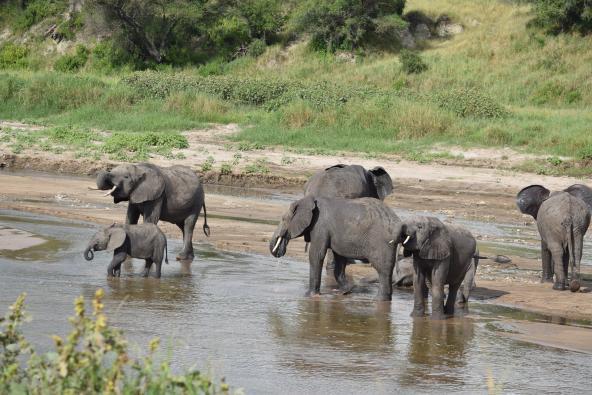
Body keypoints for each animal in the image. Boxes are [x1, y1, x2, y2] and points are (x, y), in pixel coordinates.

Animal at [270, 196, 400, 302]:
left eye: (283, 219)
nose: (280, 250)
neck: (307, 201)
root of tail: (397, 223)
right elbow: (340, 258)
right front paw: (344, 292)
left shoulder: (320, 226)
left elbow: (316, 255)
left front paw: (309, 295)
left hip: (381, 242)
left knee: (382, 269)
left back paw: (379, 300)